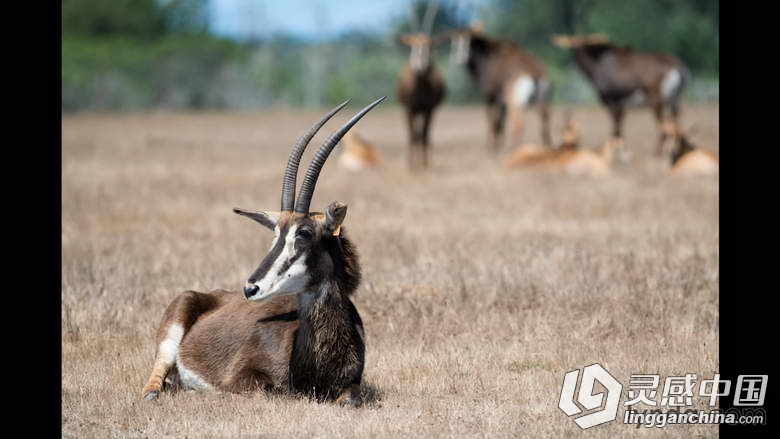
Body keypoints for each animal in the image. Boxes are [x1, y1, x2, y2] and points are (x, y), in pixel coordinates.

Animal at [142, 98, 386, 408]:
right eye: (276, 234)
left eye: (304, 233)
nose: (251, 288)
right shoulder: (247, 379)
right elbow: (275, 392)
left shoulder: (353, 384)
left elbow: (351, 397)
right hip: (174, 327)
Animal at [396, 0, 444, 169]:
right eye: (412, 46)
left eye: (429, 46)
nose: (419, 68)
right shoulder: (409, 109)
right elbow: (412, 135)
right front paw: (411, 165)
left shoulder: (428, 109)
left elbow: (424, 135)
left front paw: (424, 164)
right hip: (413, 111)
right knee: (415, 134)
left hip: (424, 112)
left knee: (422, 134)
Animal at [448, 24, 552, 155]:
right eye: (456, 41)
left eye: (470, 42)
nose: (460, 58)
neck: (487, 57)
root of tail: (533, 69)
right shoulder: (501, 101)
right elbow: (502, 120)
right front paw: (499, 145)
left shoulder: (490, 95)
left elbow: (492, 118)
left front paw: (491, 147)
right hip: (541, 100)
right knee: (545, 120)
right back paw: (546, 148)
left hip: (515, 101)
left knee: (519, 124)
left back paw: (515, 149)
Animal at [552, 34, 692, 158]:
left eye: (576, 50)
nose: (571, 65)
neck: (600, 64)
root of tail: (677, 66)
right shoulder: (621, 106)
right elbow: (619, 126)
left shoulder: (612, 103)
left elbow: (616, 127)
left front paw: (622, 153)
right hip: (674, 101)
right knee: (674, 121)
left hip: (656, 102)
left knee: (663, 123)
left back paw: (658, 152)